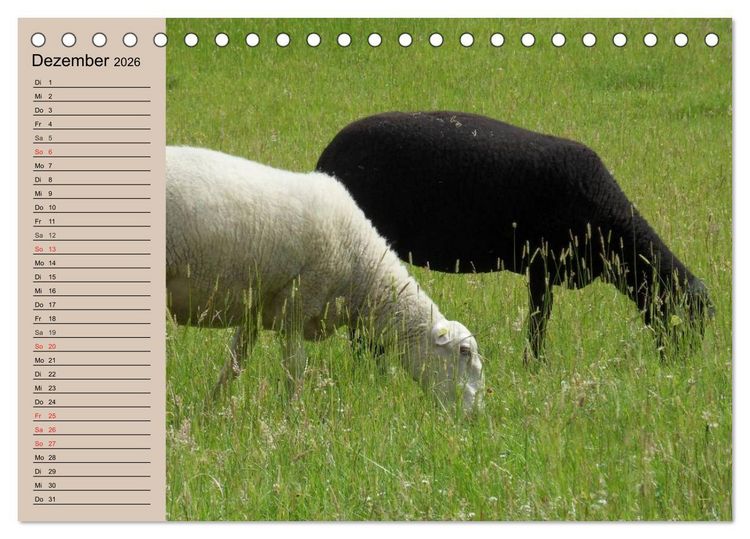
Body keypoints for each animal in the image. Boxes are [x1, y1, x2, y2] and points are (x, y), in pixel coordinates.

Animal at [165, 145, 484, 413]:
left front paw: (209, 411)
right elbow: (295, 369)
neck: (364, 271)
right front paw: (292, 415)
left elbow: (234, 363)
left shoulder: (256, 310)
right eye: (464, 352)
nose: (475, 416)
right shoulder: (297, 306)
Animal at [316, 111, 713, 360]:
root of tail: (326, 158)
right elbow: (539, 320)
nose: (683, 365)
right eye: (686, 317)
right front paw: (534, 365)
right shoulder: (541, 264)